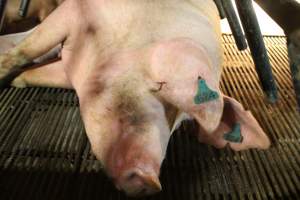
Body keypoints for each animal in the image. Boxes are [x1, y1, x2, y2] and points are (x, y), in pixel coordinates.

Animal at [0, 0, 272, 197]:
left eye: (181, 123)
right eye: (160, 86)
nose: (150, 182)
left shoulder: (70, 71)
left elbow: (32, 72)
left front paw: (15, 80)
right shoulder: (75, 10)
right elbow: (25, 51)